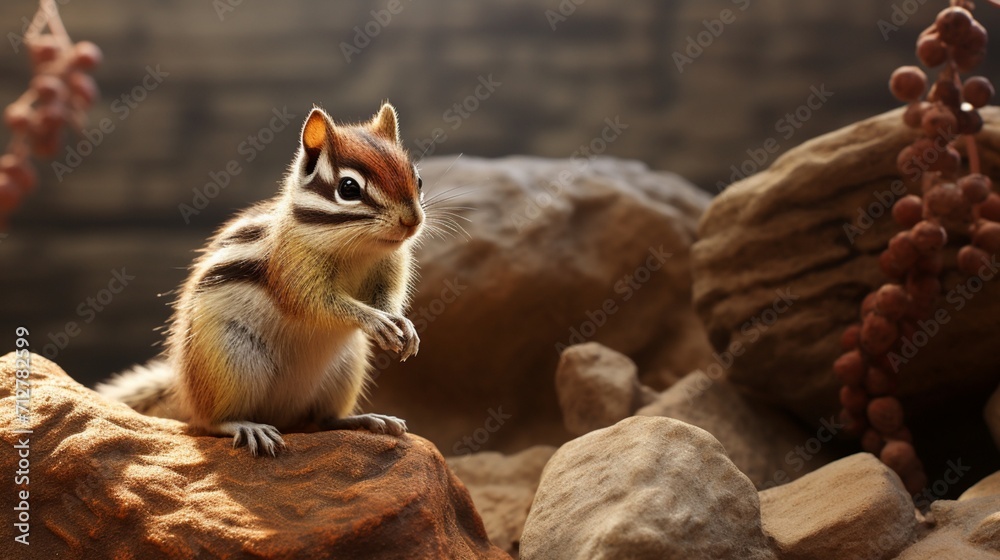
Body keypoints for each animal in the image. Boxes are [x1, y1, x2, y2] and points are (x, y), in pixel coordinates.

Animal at [97, 103, 424, 456]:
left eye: (418, 179)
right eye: (349, 189)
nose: (412, 221)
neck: (359, 249)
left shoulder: (389, 269)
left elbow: (389, 296)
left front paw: (404, 326)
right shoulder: (292, 271)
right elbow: (318, 304)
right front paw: (374, 320)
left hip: (345, 369)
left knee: (322, 420)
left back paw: (367, 419)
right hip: (232, 361)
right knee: (209, 423)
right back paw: (246, 426)